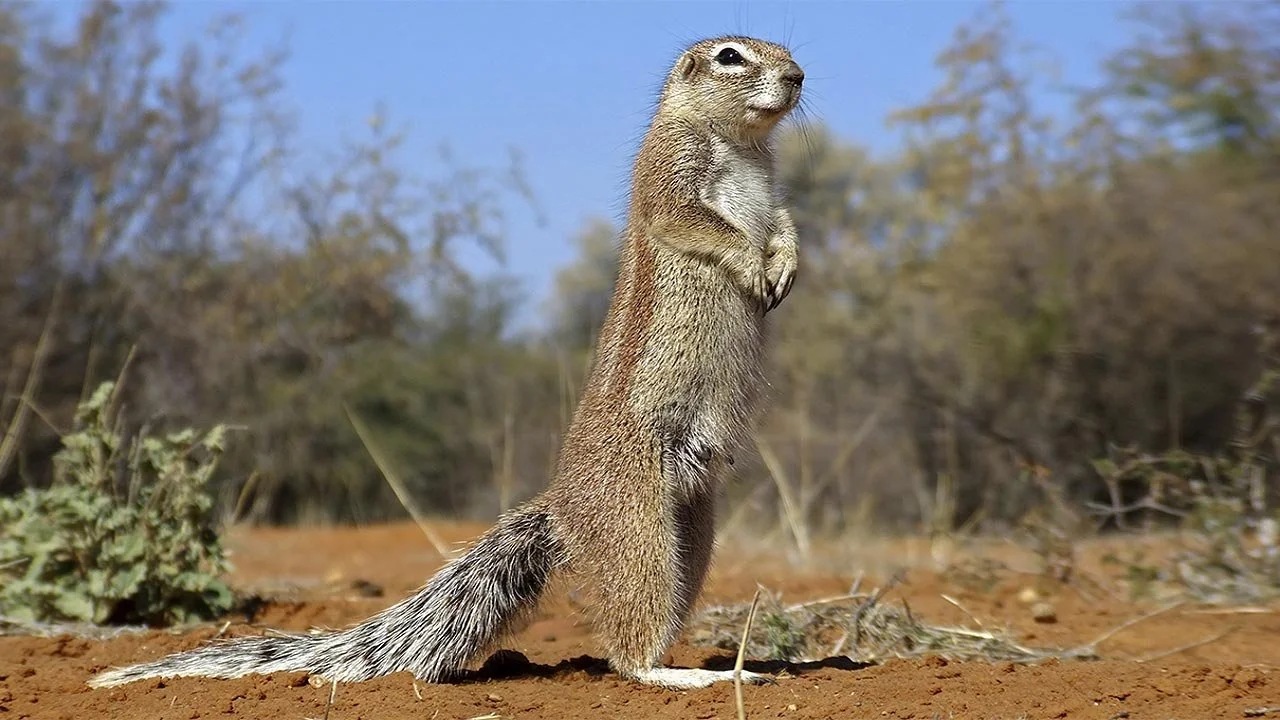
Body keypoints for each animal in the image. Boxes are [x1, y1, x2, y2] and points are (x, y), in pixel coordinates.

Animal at [88, 34, 804, 692]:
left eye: (786, 50)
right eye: (731, 56)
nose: (798, 75)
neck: (737, 143)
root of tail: (561, 508)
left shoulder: (771, 187)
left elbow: (785, 221)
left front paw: (786, 263)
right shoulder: (669, 178)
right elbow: (696, 224)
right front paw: (750, 261)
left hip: (697, 527)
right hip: (640, 529)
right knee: (628, 648)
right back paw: (692, 674)